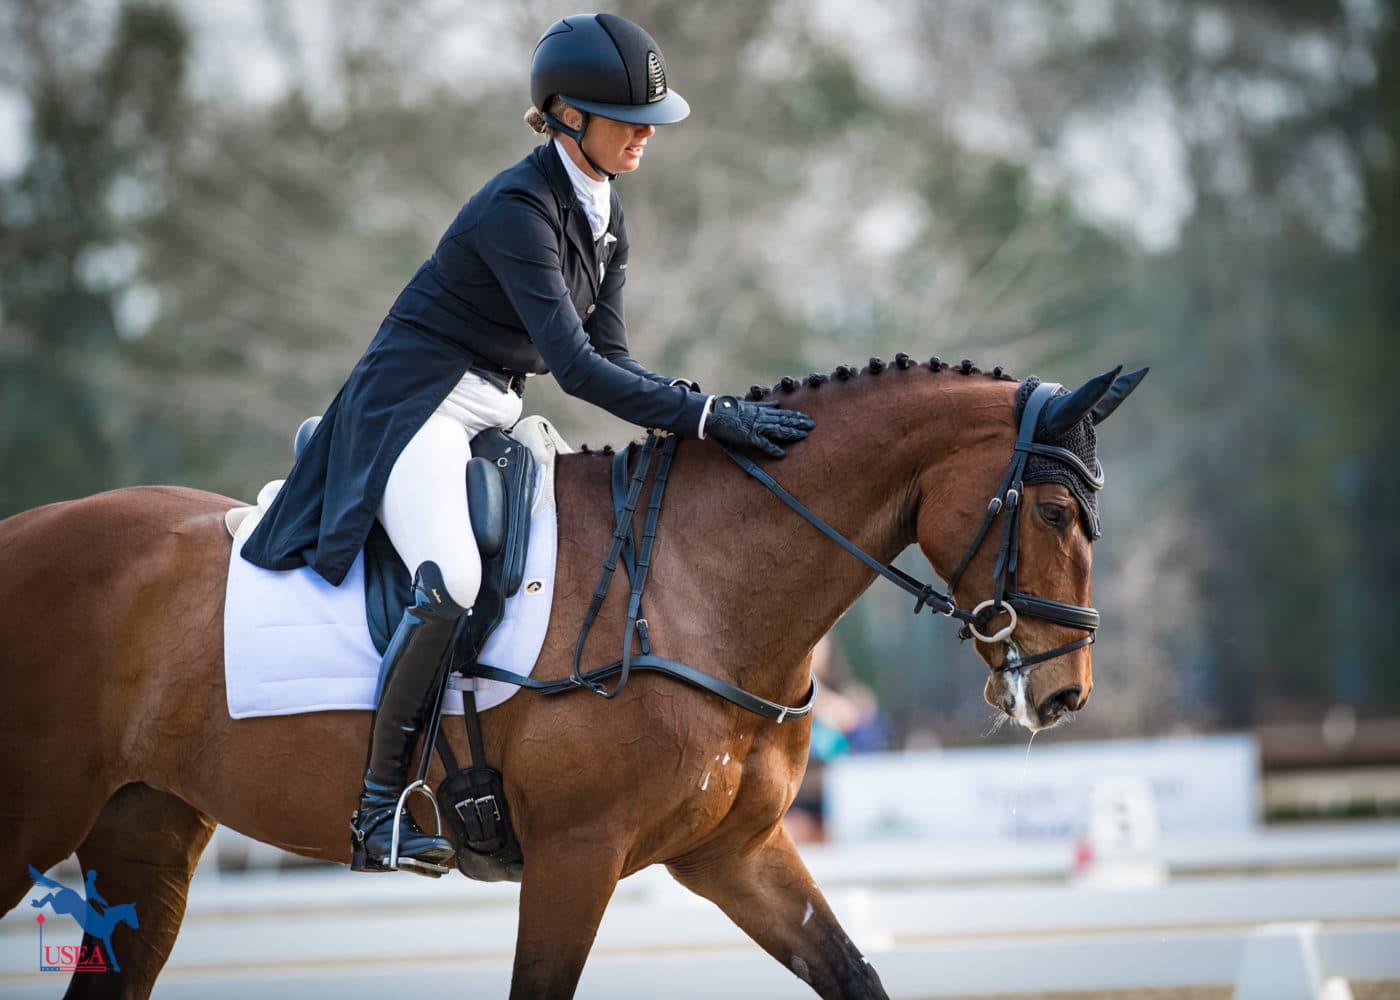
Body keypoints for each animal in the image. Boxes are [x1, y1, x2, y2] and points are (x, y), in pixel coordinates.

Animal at [0, 356, 1144, 999]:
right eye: (1053, 512)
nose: (1064, 694)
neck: (693, 580)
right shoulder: (574, 857)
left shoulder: (734, 853)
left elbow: (853, 974)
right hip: (32, 822)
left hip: (144, 833)